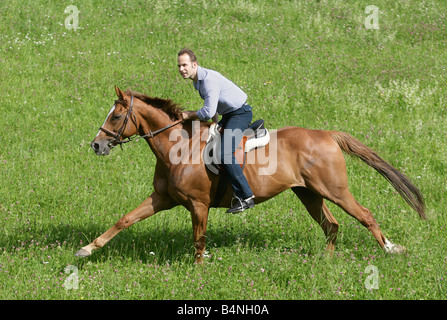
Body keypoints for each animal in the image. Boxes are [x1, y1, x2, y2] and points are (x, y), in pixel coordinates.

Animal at [75, 87, 426, 262]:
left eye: (116, 115)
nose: (96, 144)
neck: (179, 147)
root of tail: (327, 134)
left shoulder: (199, 204)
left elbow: (199, 239)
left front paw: (198, 271)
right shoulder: (162, 198)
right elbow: (125, 220)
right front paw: (87, 249)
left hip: (334, 190)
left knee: (364, 215)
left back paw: (391, 249)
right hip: (308, 193)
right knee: (332, 225)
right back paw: (325, 261)